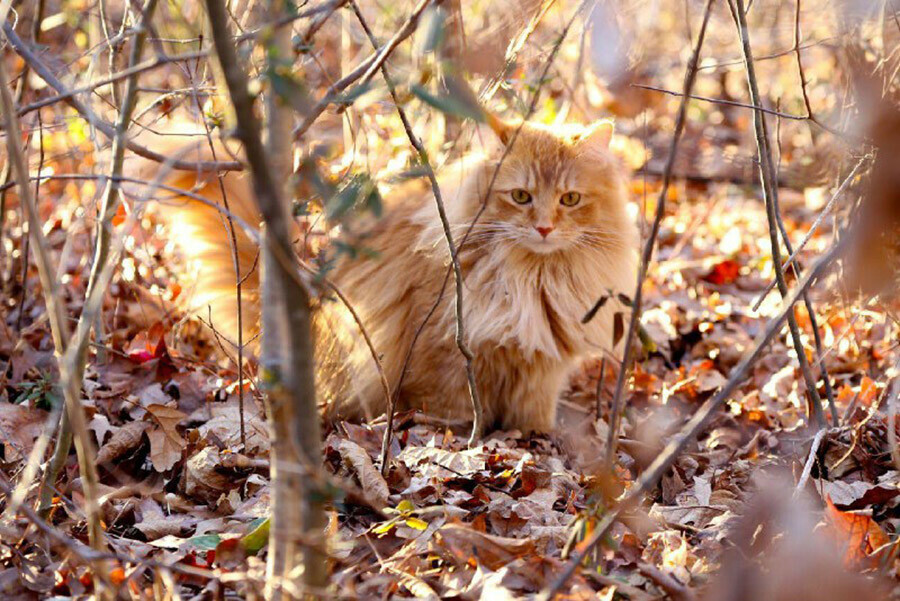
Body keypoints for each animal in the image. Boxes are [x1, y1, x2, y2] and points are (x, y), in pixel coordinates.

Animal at [137, 116, 636, 432]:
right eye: (520, 196)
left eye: (570, 199)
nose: (545, 227)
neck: (533, 276)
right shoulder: (448, 355)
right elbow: (454, 410)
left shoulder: (540, 369)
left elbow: (532, 416)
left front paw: (534, 440)